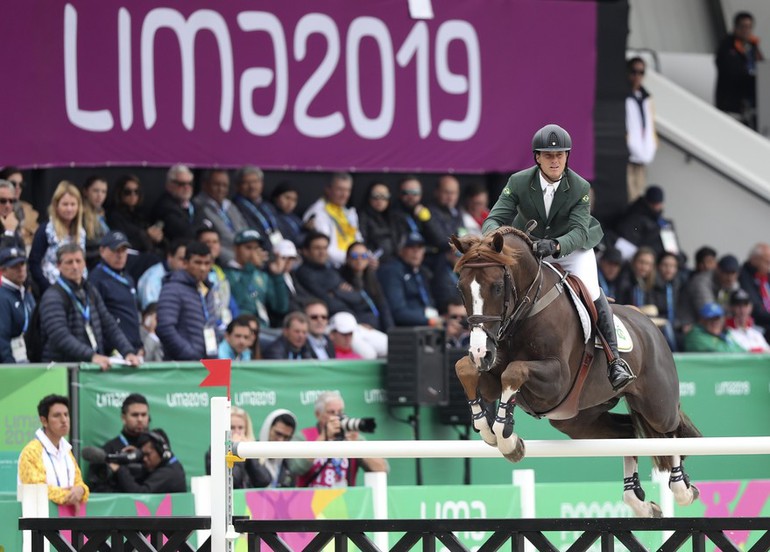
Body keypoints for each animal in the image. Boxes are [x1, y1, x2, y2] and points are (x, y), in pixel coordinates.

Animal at [452, 227, 700, 516]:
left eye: (497, 287)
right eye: (460, 289)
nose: (480, 352)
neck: (526, 310)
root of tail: (650, 324)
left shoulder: (556, 382)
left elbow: (514, 371)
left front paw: (506, 437)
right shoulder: (492, 374)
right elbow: (466, 370)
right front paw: (488, 428)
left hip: (655, 405)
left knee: (669, 430)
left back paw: (682, 489)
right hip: (576, 419)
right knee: (627, 432)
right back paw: (639, 501)